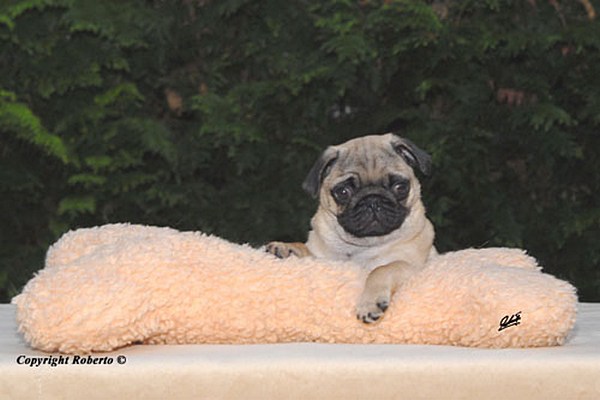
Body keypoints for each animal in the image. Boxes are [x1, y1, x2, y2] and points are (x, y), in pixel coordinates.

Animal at [266, 133, 436, 324]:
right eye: (343, 192)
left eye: (400, 187)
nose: (372, 200)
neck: (364, 245)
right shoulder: (321, 258)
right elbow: (304, 248)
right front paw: (286, 246)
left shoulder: (410, 265)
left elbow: (381, 269)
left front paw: (369, 303)